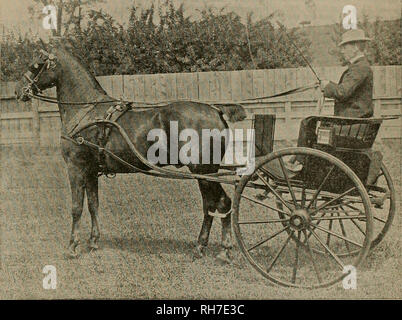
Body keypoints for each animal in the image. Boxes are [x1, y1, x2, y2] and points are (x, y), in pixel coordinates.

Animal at [14, 40, 247, 262]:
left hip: (203, 171)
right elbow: (93, 204)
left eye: (35, 64)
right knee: (211, 205)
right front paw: (93, 241)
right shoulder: (91, 171)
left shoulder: (76, 167)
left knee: (221, 203)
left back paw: (221, 250)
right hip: (205, 172)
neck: (86, 111)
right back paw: (203, 248)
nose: (18, 90)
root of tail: (216, 110)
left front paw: (72, 247)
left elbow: (76, 207)